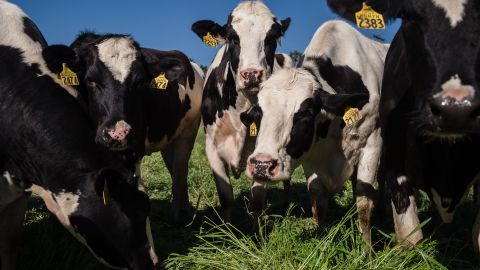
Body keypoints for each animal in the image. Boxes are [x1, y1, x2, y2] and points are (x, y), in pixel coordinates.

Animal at [42, 32, 204, 223]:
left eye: (140, 82)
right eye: (91, 80)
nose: (118, 133)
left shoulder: (134, 149)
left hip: (189, 130)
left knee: (180, 170)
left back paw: (177, 215)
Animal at [190, 0, 288, 221]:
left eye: (272, 37)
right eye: (232, 38)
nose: (251, 74)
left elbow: (257, 200)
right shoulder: (212, 148)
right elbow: (226, 196)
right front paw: (228, 229)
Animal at [242, 20, 388, 245]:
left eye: (306, 113)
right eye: (258, 112)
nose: (261, 166)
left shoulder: (372, 146)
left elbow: (364, 203)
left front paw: (367, 249)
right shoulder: (310, 154)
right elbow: (318, 199)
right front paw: (320, 236)